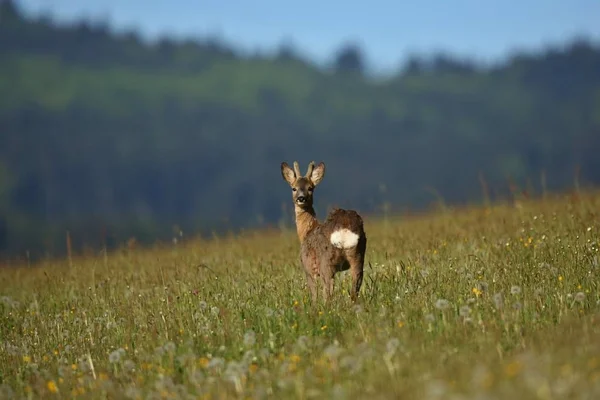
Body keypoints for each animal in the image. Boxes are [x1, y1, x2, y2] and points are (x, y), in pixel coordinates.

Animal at [280, 161, 366, 302]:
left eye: (310, 188)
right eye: (294, 188)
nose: (301, 198)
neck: (307, 232)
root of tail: (344, 227)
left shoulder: (308, 267)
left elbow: (314, 295)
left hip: (326, 262)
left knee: (328, 292)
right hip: (358, 255)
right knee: (355, 288)